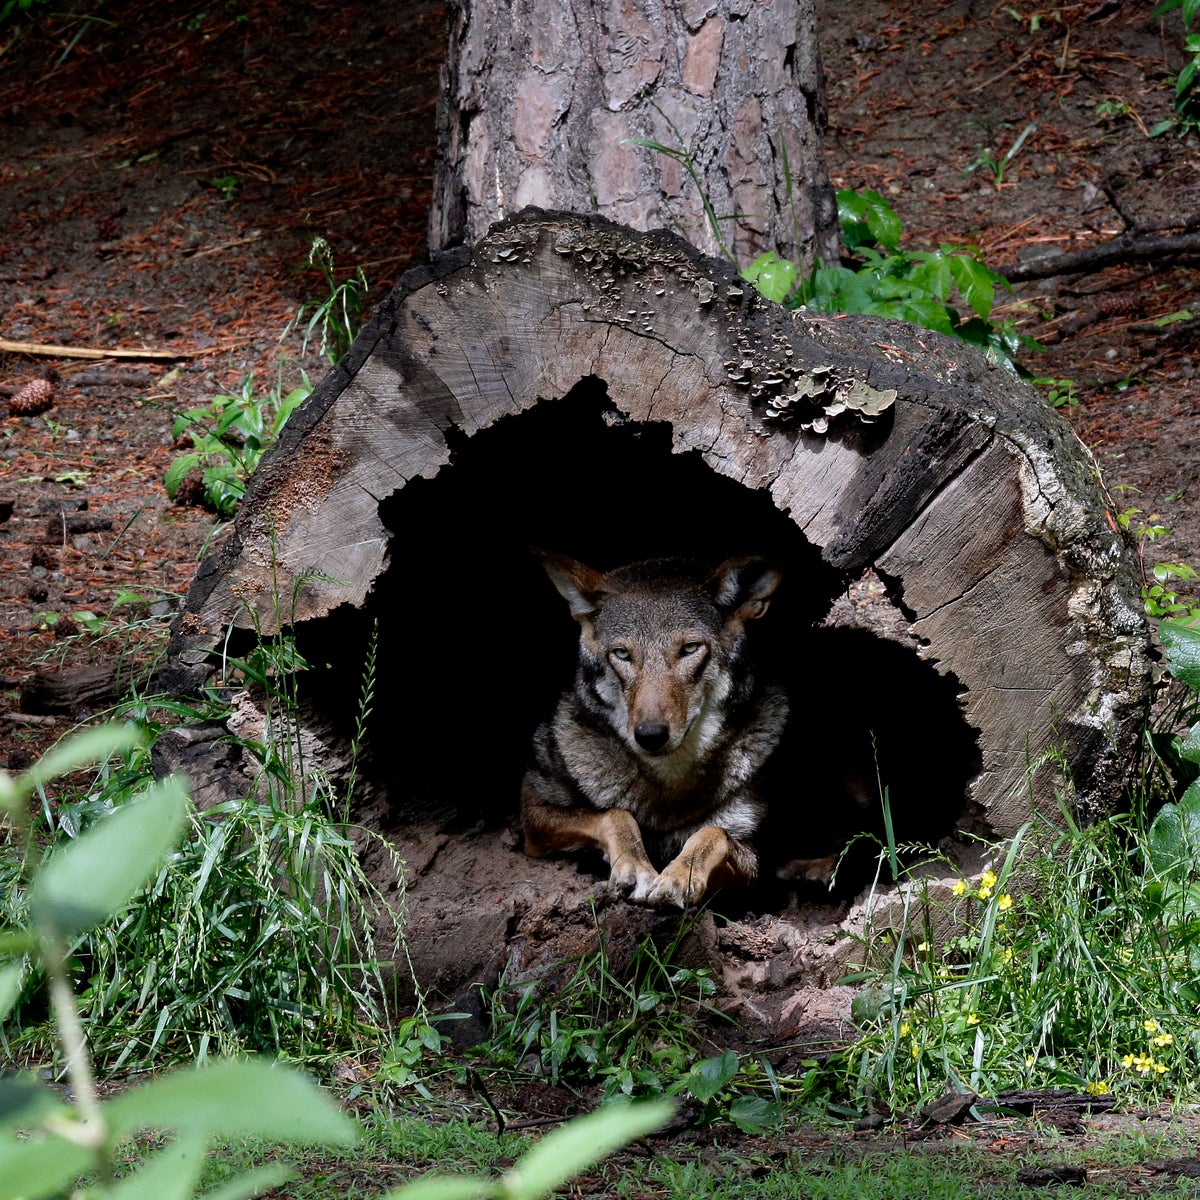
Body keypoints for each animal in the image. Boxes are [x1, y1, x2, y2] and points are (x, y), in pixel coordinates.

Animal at [520, 551, 789, 908]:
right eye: (622, 654)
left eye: (690, 649)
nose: (650, 735)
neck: (670, 782)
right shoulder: (533, 811)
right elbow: (615, 814)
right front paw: (636, 868)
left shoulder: (752, 863)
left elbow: (712, 833)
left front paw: (679, 876)